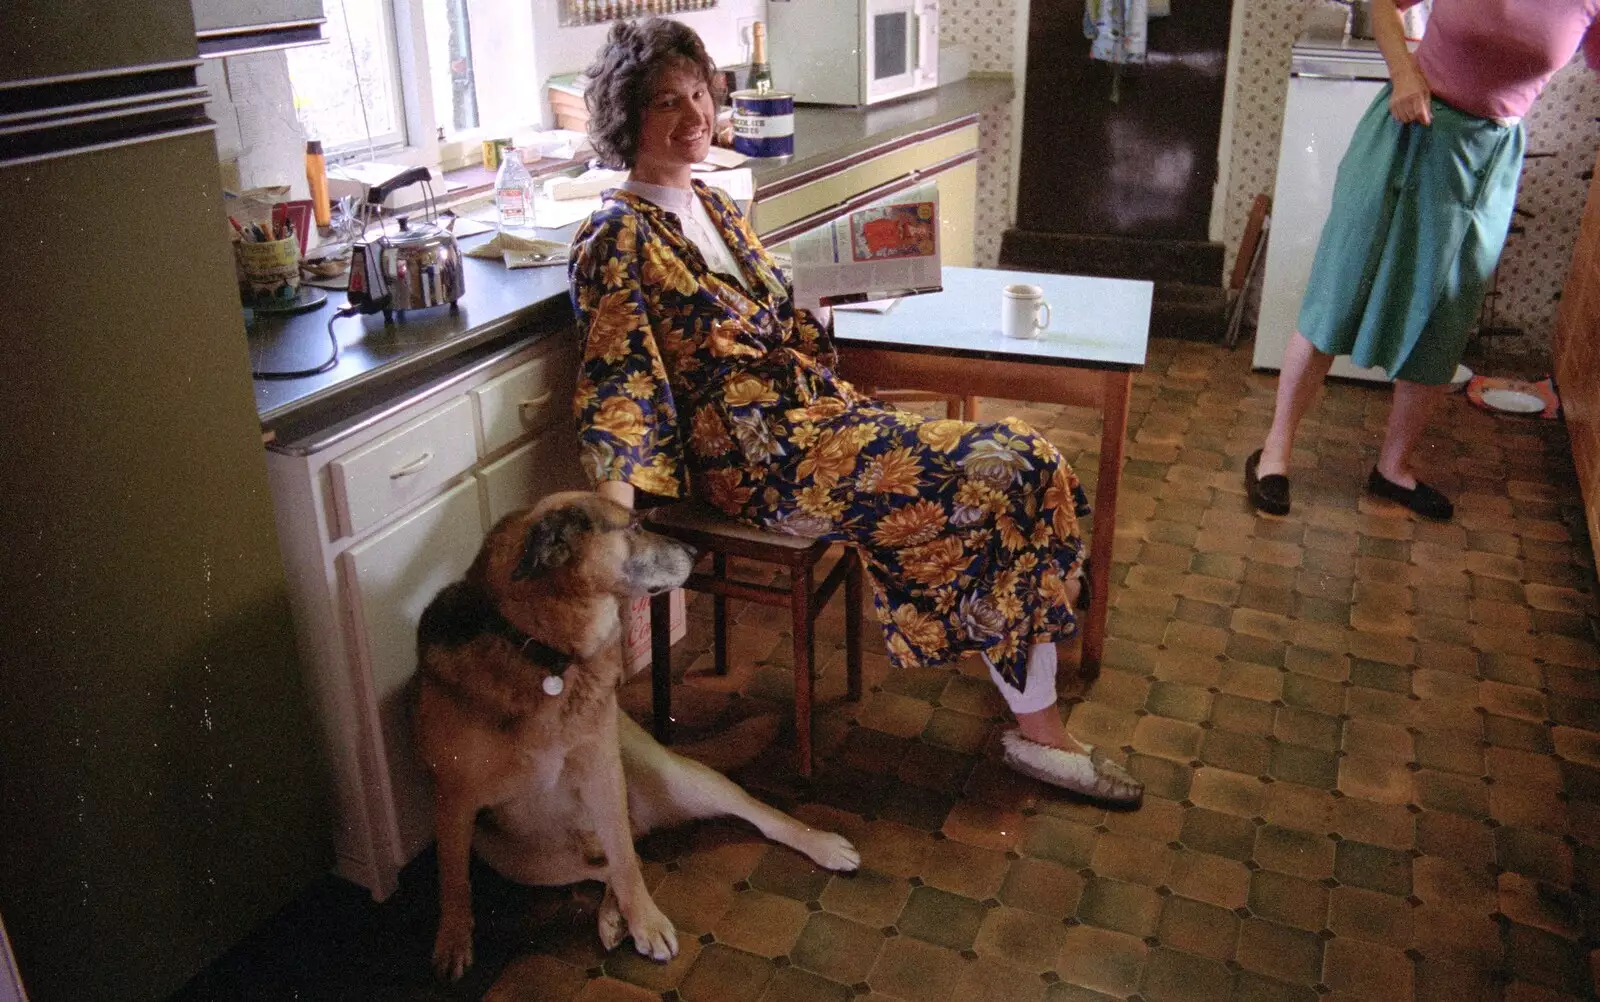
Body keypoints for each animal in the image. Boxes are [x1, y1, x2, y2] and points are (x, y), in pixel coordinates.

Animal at [412, 492, 864, 973]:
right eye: (631, 528)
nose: (694, 552)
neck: (541, 652)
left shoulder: (601, 771)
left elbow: (627, 863)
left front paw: (646, 923)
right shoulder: (453, 798)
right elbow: (453, 877)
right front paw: (453, 940)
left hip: (678, 779)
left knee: (752, 817)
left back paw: (823, 845)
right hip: (515, 857)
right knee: (614, 863)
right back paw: (612, 917)